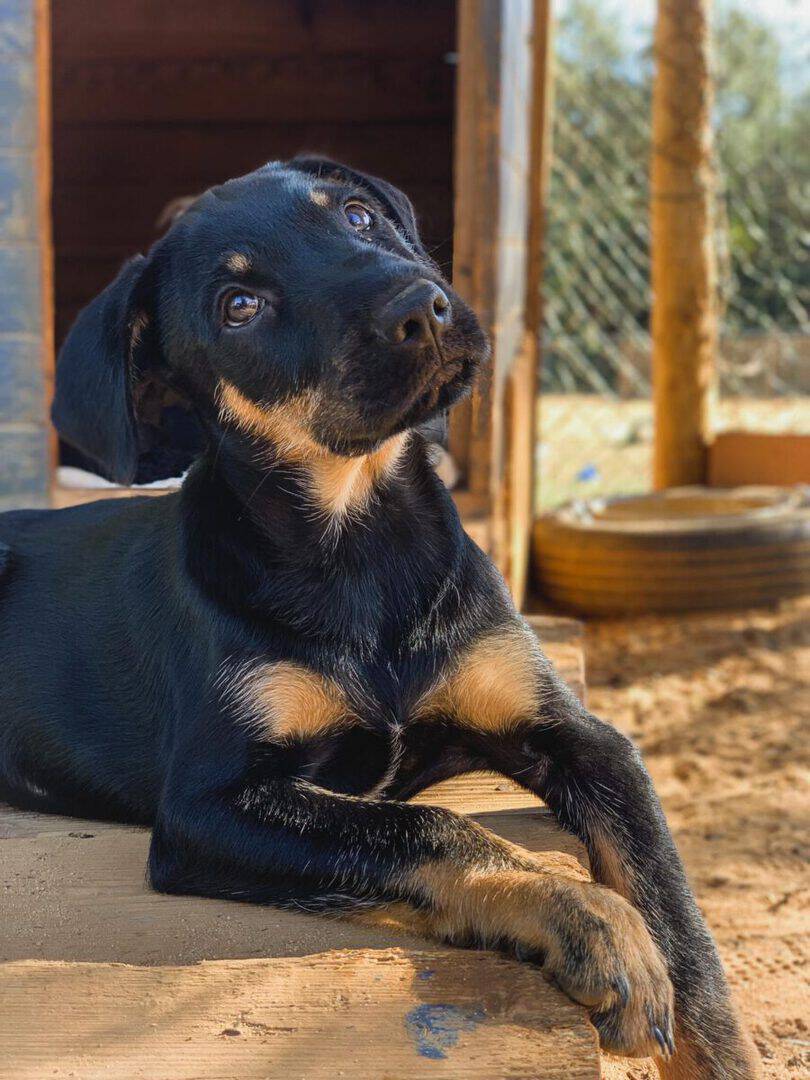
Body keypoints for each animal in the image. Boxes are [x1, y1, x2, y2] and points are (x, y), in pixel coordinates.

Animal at [0, 158, 757, 1077]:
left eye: (358, 215)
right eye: (239, 305)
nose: (421, 307)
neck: (362, 542)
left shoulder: (580, 736)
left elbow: (679, 920)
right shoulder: (208, 803)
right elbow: (420, 826)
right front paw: (589, 920)